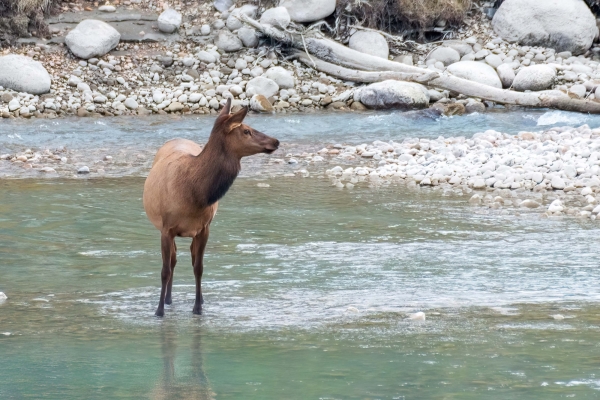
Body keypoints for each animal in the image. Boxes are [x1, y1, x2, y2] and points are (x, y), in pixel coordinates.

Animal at [144, 98, 282, 318]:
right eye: (246, 130)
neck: (193, 194)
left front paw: (198, 307)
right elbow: (165, 270)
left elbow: (198, 267)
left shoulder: (204, 228)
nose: (275, 141)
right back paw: (167, 299)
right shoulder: (166, 228)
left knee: (186, 258)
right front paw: (159, 311)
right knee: (173, 260)